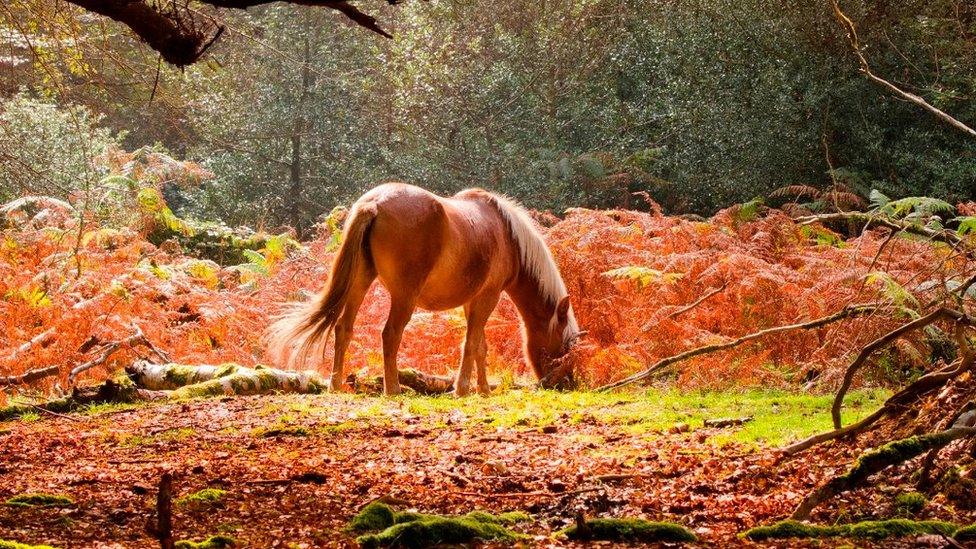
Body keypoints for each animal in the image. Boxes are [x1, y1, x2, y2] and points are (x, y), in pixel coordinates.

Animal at [266, 183, 580, 394]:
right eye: (565, 348)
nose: (566, 384)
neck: (507, 234)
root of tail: (375, 203)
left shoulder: (474, 300)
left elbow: (480, 345)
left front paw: (482, 389)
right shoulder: (487, 296)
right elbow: (471, 343)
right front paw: (463, 389)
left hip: (360, 281)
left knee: (344, 328)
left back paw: (336, 385)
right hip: (404, 297)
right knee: (390, 334)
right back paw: (393, 388)